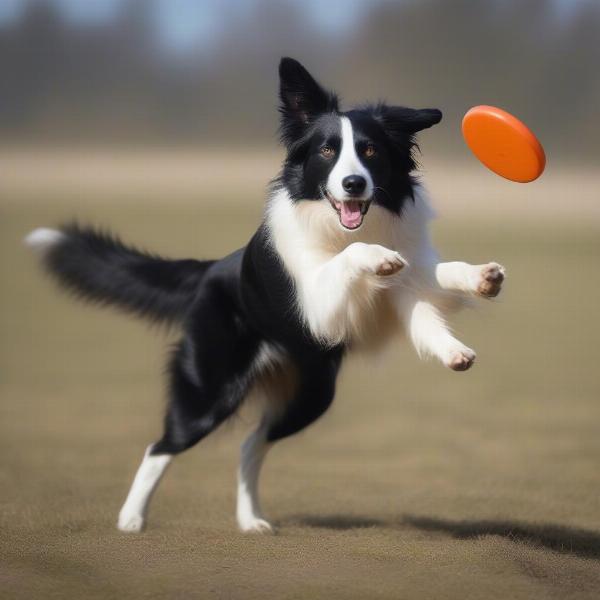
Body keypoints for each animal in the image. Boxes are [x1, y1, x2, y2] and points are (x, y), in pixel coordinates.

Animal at [28, 57, 506, 536]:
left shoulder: (403, 290)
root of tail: (212, 269)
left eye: (371, 151)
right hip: (210, 389)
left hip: (312, 394)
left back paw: (251, 520)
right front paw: (380, 258)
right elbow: (355, 257)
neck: (345, 226)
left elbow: (429, 294)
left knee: (249, 443)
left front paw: (475, 295)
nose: (354, 184)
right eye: (327, 151)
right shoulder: (317, 303)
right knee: (161, 445)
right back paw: (130, 519)